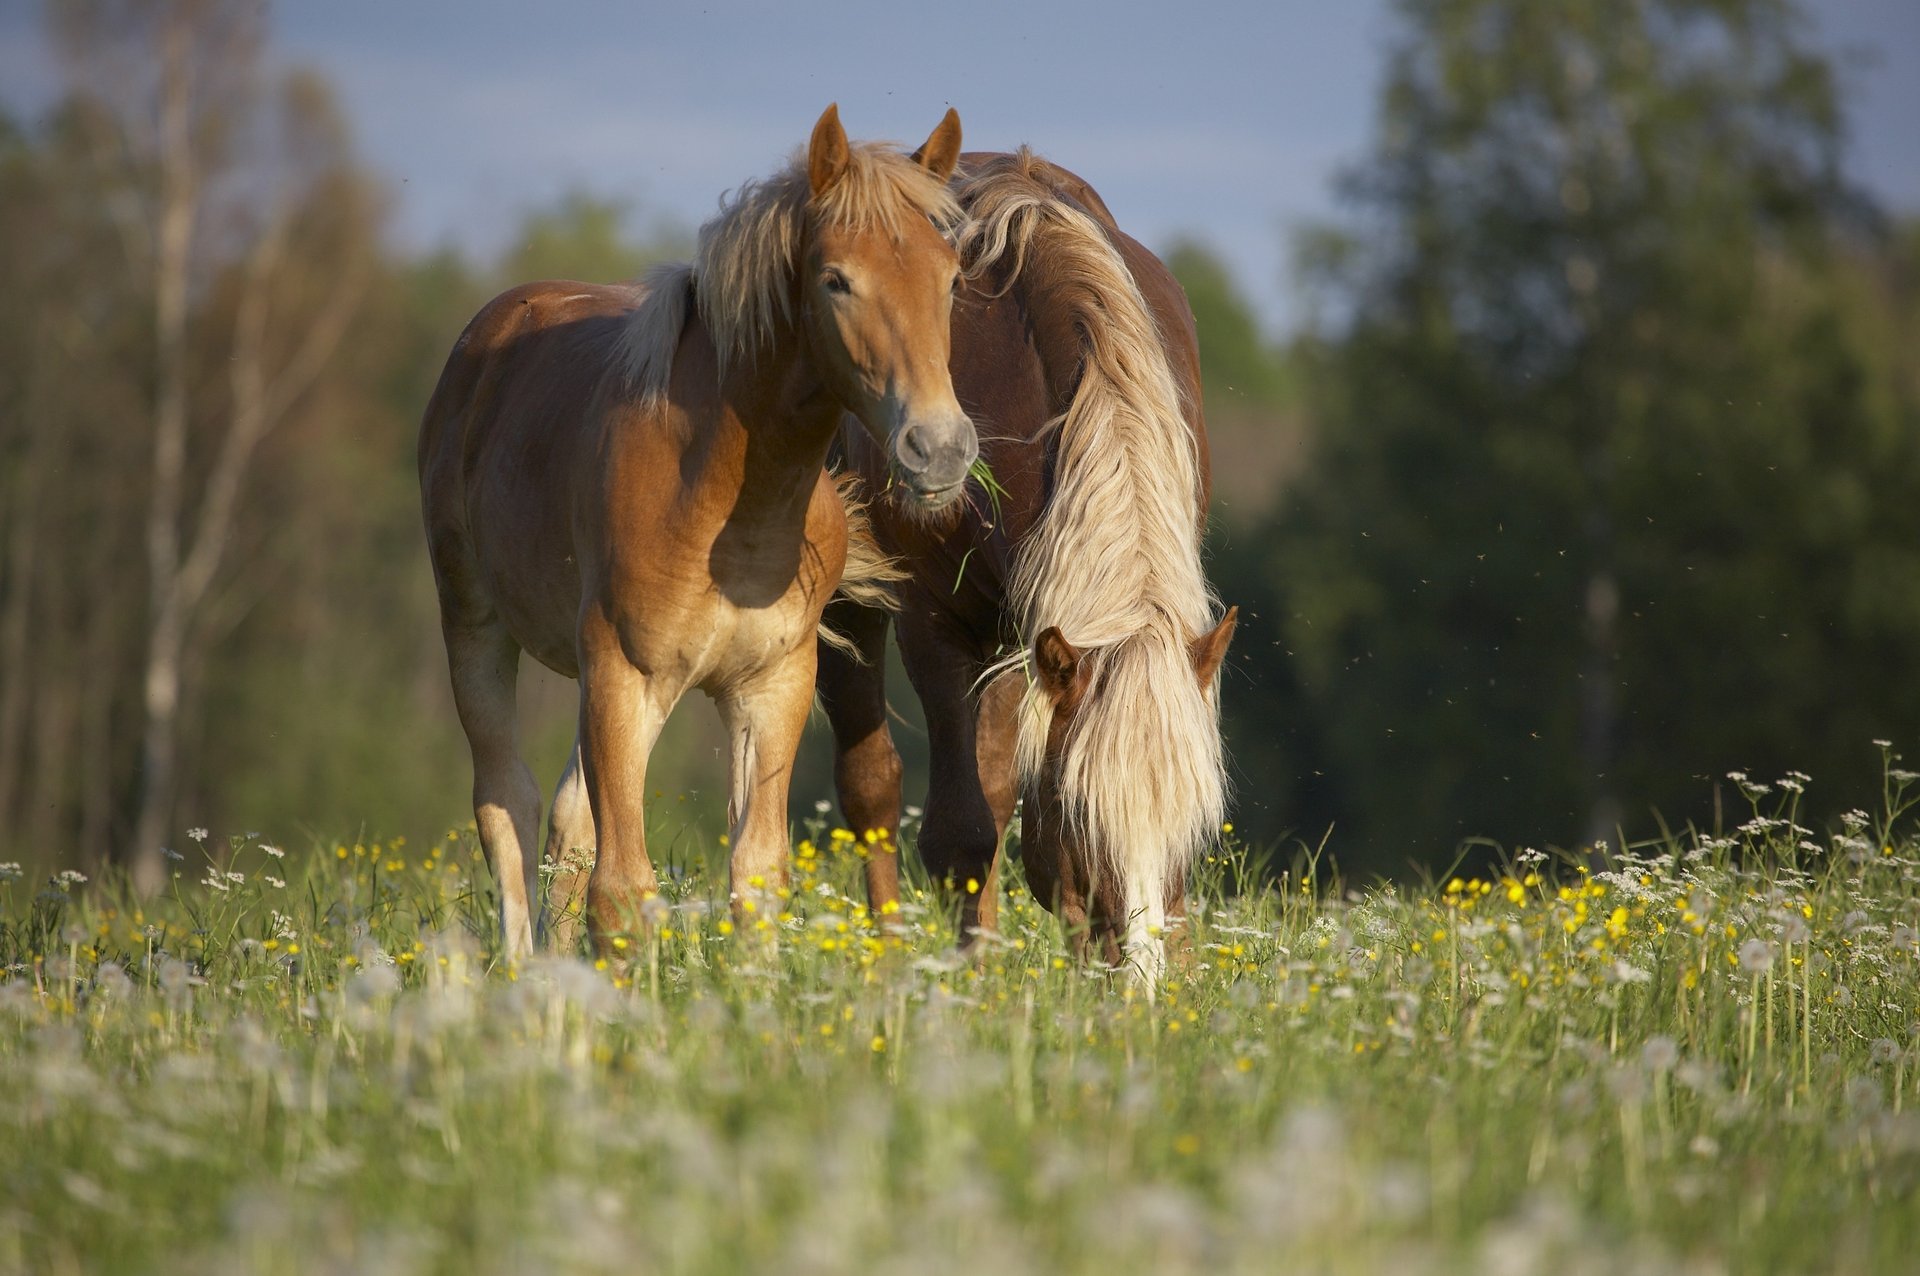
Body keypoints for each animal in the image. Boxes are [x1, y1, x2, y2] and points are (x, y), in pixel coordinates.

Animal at [419, 105, 976, 960]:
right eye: (836, 280)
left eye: (951, 278)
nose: (939, 447)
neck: (723, 504)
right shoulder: (623, 674)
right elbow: (620, 891)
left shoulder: (771, 687)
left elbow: (756, 875)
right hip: (478, 626)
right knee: (506, 804)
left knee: (566, 820)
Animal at [818, 148, 1237, 986]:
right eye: (1083, 813)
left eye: (1196, 822)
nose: (1141, 984)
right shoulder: (937, 626)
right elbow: (961, 832)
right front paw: (973, 986)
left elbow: (1010, 814)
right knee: (872, 786)